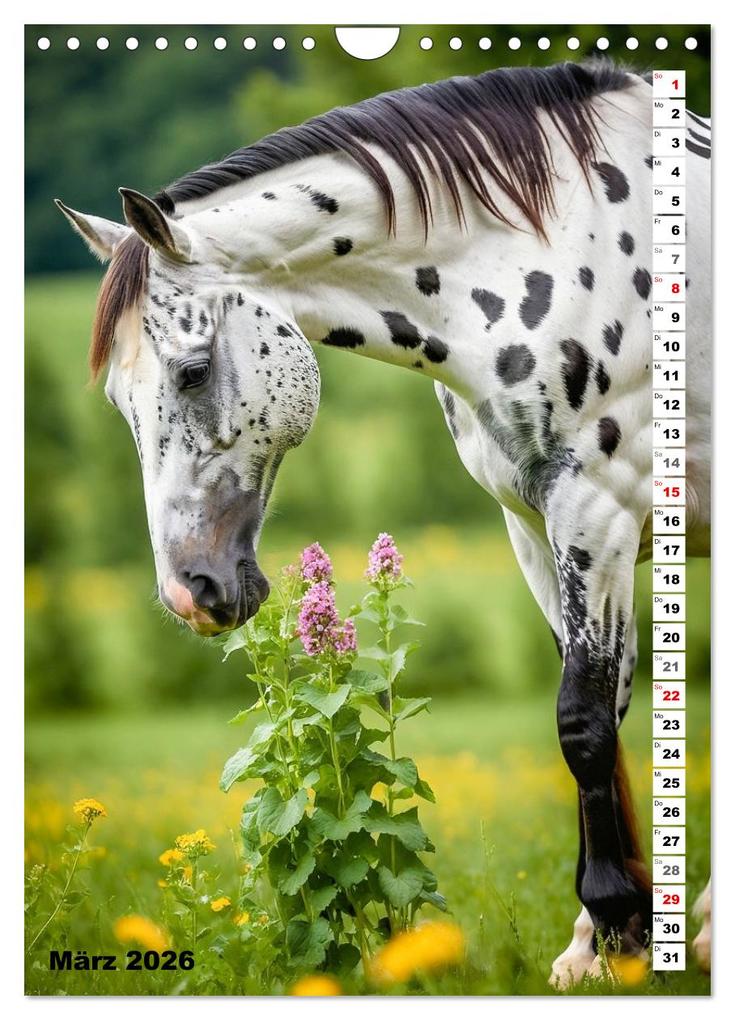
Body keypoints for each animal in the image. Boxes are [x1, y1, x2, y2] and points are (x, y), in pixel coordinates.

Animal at [55, 59, 711, 986]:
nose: (191, 593)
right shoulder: (535, 526)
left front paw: (619, 923)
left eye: (190, 372)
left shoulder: (599, 511)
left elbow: (582, 723)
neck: (558, 248)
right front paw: (603, 943)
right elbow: (607, 710)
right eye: (118, 399)